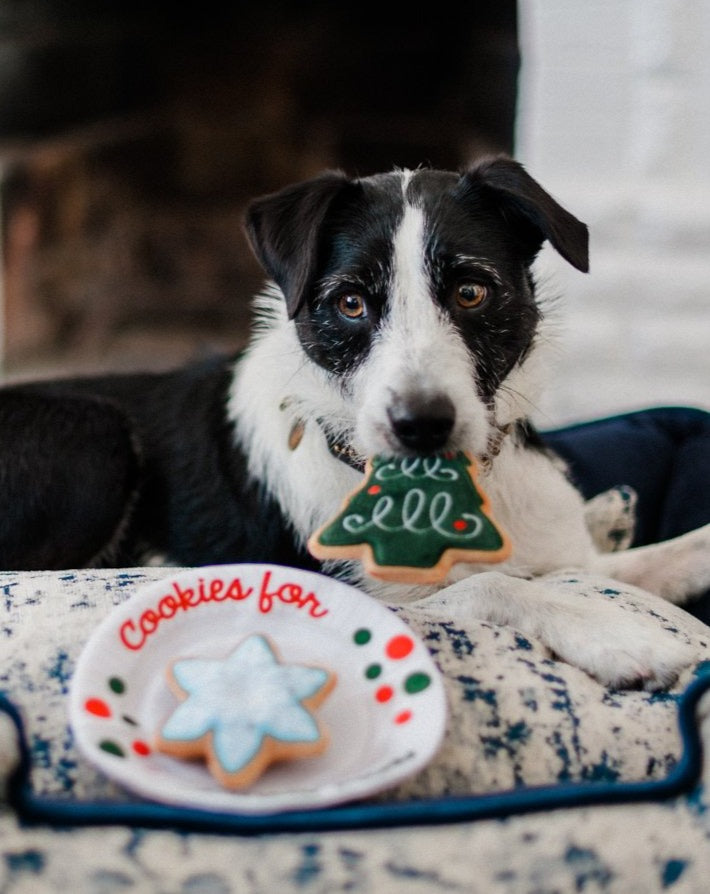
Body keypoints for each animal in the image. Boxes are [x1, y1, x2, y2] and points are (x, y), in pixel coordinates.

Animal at [1, 159, 710, 692]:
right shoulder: (375, 601)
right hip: (94, 435)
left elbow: (640, 560)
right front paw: (618, 637)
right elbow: (494, 584)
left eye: (471, 292)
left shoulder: (562, 555)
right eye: (349, 302)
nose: (421, 424)